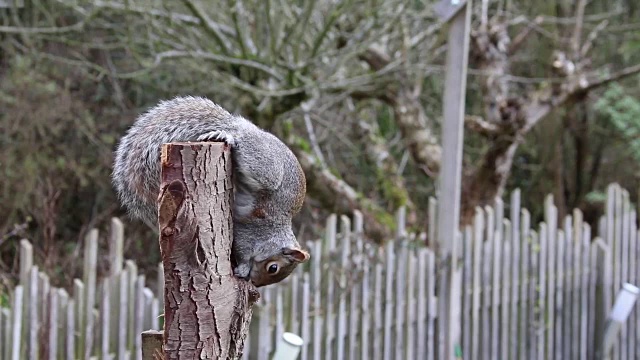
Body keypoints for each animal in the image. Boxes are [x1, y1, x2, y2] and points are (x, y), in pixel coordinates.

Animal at [112, 95, 310, 286]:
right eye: (273, 268)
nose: (255, 283)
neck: (273, 235)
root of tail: (237, 123)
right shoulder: (251, 230)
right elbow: (242, 248)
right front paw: (243, 268)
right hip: (266, 168)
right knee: (243, 142)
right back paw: (228, 136)